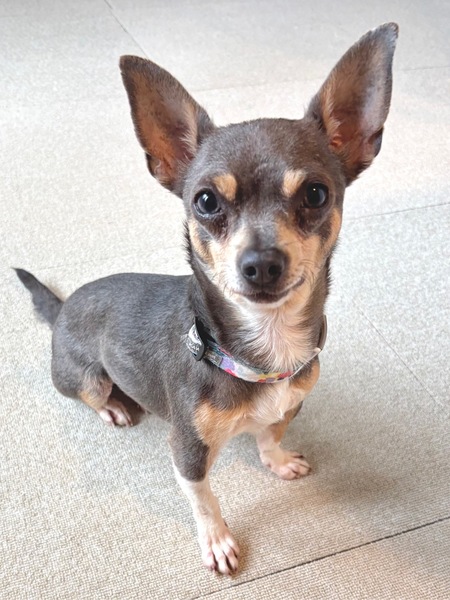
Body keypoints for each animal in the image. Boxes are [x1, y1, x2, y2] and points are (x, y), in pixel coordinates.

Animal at [16, 23, 398, 575]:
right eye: (206, 201)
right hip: (84, 377)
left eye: (316, 194)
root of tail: (62, 307)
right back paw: (114, 407)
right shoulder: (188, 450)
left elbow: (269, 434)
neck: (261, 351)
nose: (261, 263)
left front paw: (277, 460)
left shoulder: (289, 405)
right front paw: (217, 540)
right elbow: (205, 499)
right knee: (93, 393)